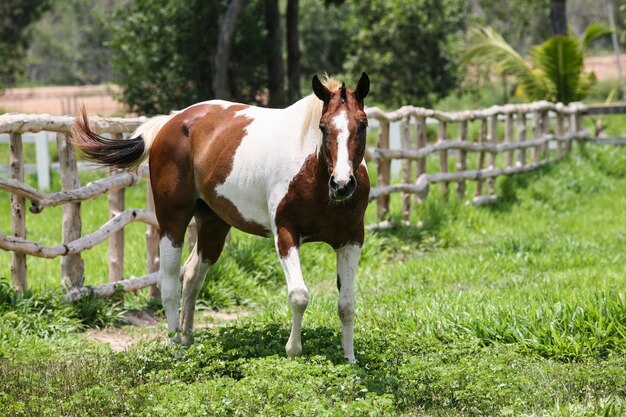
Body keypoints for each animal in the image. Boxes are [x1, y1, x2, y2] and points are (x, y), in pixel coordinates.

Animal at [70, 73, 368, 362]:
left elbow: (347, 304)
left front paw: (349, 358)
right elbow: (299, 296)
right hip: (172, 222)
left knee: (191, 277)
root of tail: (171, 121)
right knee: (169, 283)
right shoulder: (286, 235)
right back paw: (176, 349)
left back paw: (188, 340)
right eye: (323, 127)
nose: (342, 185)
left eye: (363, 125)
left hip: (213, 225)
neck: (314, 175)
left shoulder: (351, 240)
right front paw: (293, 352)